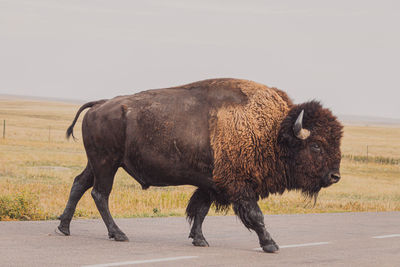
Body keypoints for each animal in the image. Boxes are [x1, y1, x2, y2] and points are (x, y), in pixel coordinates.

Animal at [57, 79, 342, 253]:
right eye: (316, 145)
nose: (335, 176)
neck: (272, 131)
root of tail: (99, 105)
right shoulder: (239, 186)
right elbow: (256, 215)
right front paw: (271, 244)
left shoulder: (210, 183)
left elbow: (200, 211)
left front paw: (200, 240)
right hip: (107, 164)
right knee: (100, 194)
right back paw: (118, 234)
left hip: (97, 163)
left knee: (79, 184)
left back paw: (64, 227)